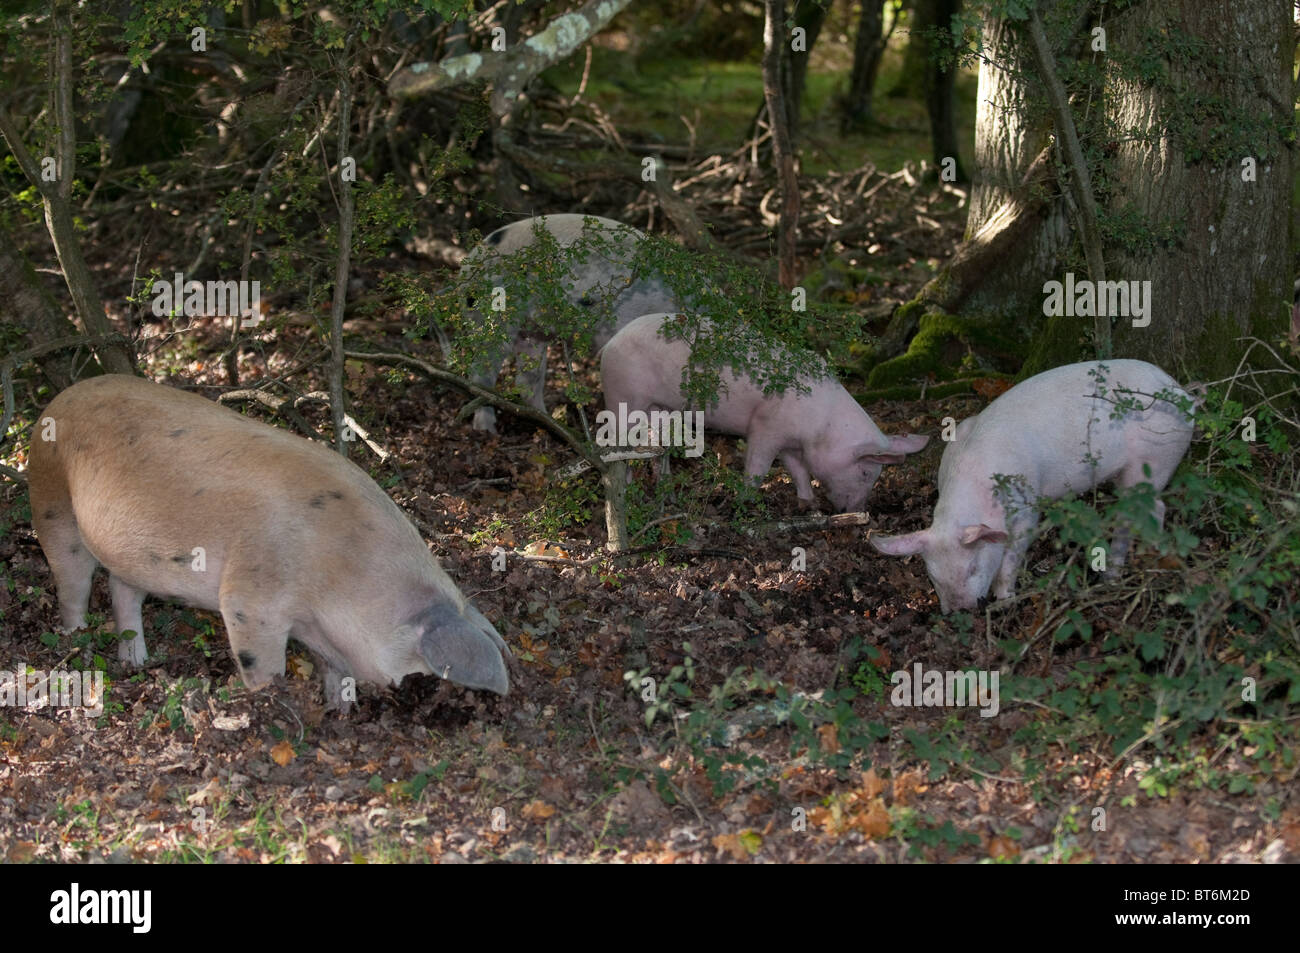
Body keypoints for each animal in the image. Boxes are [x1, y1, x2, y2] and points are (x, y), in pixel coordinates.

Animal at [30, 374, 506, 702]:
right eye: (425, 670)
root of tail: (61, 397)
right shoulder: (250, 599)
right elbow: (262, 661)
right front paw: (270, 700)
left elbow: (333, 669)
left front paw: (338, 707)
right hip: (51, 502)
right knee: (72, 583)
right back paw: (76, 640)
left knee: (122, 590)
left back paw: (137, 661)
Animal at [457, 214, 686, 431]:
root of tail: (467, 266)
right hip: (492, 321)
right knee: (481, 375)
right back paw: (487, 428)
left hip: (531, 333)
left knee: (527, 381)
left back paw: (549, 421)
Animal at [603, 314, 930, 512]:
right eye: (865, 472)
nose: (859, 512)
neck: (822, 425)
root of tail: (610, 343)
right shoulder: (765, 427)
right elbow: (757, 468)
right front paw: (745, 502)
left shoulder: (791, 444)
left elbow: (798, 470)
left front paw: (807, 504)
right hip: (623, 399)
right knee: (619, 446)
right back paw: (626, 491)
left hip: (661, 410)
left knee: (657, 449)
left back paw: (667, 495)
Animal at [868, 356, 1190, 608]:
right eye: (933, 575)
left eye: (972, 568)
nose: (960, 611)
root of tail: (1181, 392)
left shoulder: (1027, 505)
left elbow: (1014, 553)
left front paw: (1005, 599)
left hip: (1154, 460)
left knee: (1153, 508)